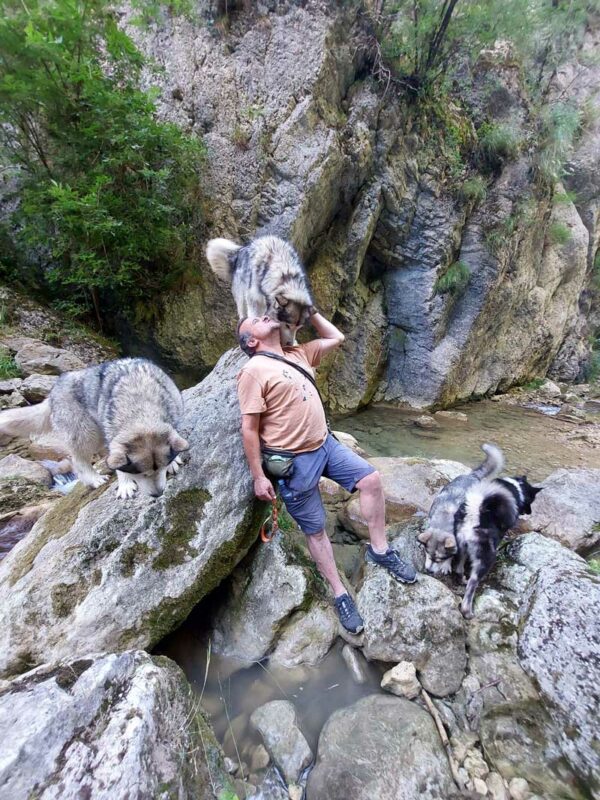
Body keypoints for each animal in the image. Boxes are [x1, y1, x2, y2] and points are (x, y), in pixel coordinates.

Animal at [0, 358, 188, 496]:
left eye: (161, 468)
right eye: (139, 474)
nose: (158, 494)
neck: (140, 411)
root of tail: (52, 393)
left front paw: (173, 461)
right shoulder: (114, 438)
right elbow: (117, 464)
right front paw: (125, 484)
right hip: (86, 432)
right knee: (79, 461)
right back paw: (93, 478)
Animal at [418, 444, 506, 576]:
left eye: (440, 559)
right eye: (428, 554)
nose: (428, 571)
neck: (444, 517)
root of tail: (472, 475)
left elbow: (453, 553)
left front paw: (446, 565)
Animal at [452, 476, 540, 620]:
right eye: (532, 499)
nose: (530, 512)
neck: (517, 486)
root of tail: (476, 511)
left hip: (461, 546)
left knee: (459, 568)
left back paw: (462, 580)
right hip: (486, 558)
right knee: (472, 584)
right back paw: (467, 611)